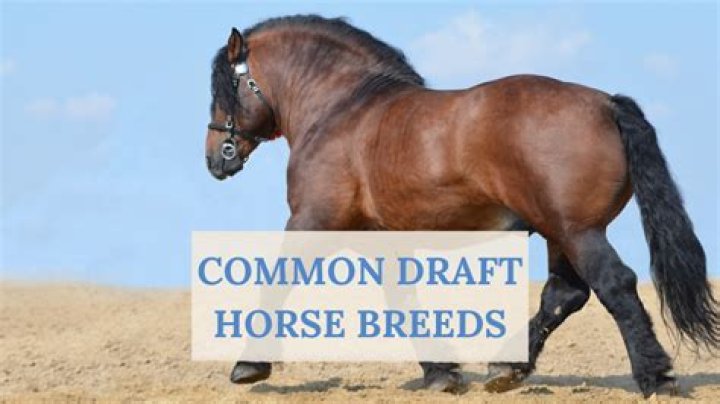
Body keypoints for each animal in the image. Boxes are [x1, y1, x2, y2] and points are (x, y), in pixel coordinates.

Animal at [204, 15, 718, 397]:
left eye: (222, 89)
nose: (215, 159)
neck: (343, 110)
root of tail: (606, 104)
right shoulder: (383, 240)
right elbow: (403, 300)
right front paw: (441, 373)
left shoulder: (312, 221)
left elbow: (277, 281)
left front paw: (249, 365)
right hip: (559, 233)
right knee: (564, 294)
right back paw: (506, 369)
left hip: (578, 231)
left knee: (615, 285)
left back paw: (655, 377)